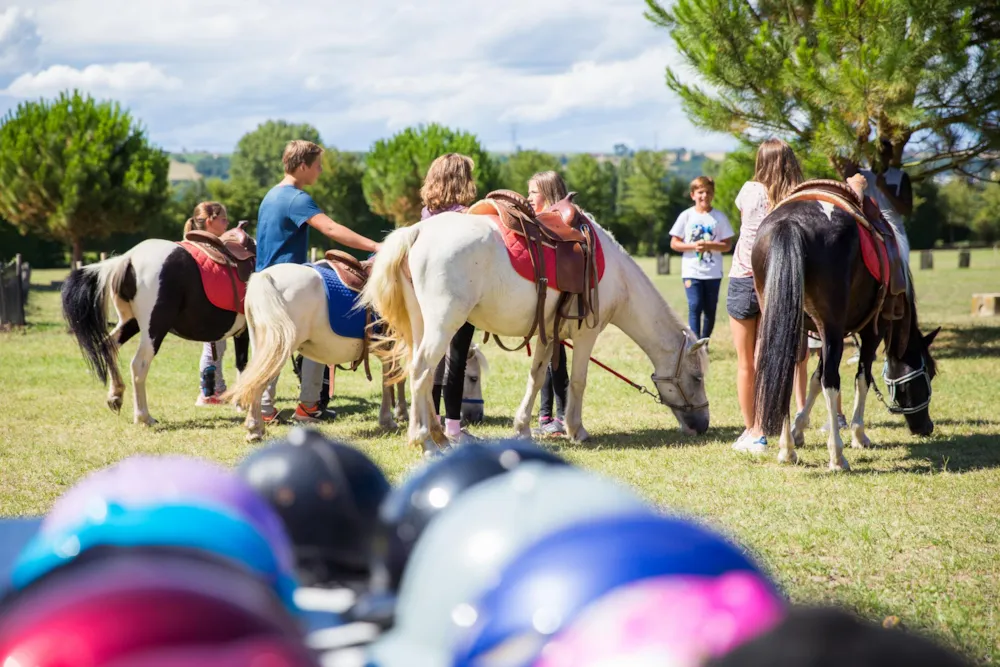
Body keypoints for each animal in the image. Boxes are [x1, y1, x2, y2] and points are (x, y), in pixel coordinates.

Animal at [360, 207, 712, 454]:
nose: (703, 425)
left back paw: (437, 435)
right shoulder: (586, 335)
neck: (616, 275)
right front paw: (576, 430)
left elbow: (538, 376)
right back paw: (424, 439)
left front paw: (522, 428)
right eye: (697, 378)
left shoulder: (549, 335)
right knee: (421, 371)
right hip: (444, 325)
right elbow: (578, 381)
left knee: (422, 372)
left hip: (421, 324)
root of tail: (418, 230)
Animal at [752, 185, 940, 472]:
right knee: (832, 380)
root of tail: (790, 222)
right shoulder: (872, 331)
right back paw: (837, 456)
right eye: (929, 372)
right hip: (831, 325)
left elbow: (814, 379)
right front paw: (858, 434)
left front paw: (798, 430)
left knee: (783, 372)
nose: (926, 427)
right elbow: (861, 378)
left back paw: (787, 450)